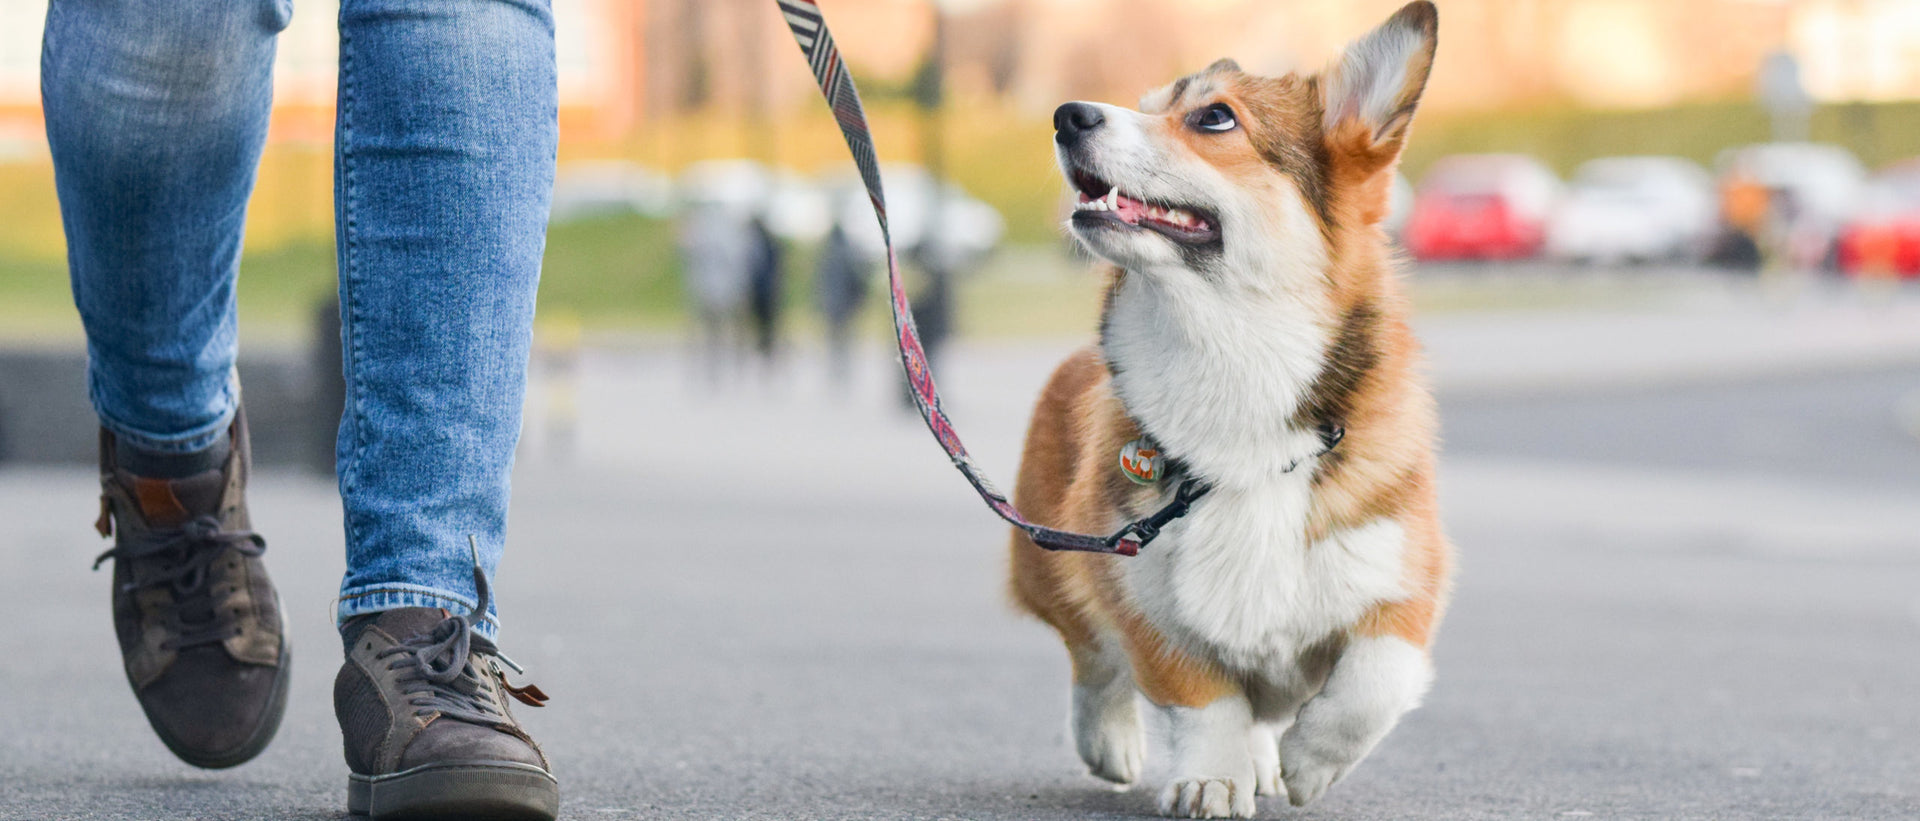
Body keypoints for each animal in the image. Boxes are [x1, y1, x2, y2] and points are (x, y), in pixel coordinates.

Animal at [1013, 3, 1443, 817]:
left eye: (1214, 117)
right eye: (1146, 105)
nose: (1067, 114)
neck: (1233, 360)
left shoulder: (1404, 578)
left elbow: (1375, 680)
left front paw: (1310, 762)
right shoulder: (1139, 586)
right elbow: (1203, 698)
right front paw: (1211, 777)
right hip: (1050, 558)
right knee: (1092, 656)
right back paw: (1111, 740)